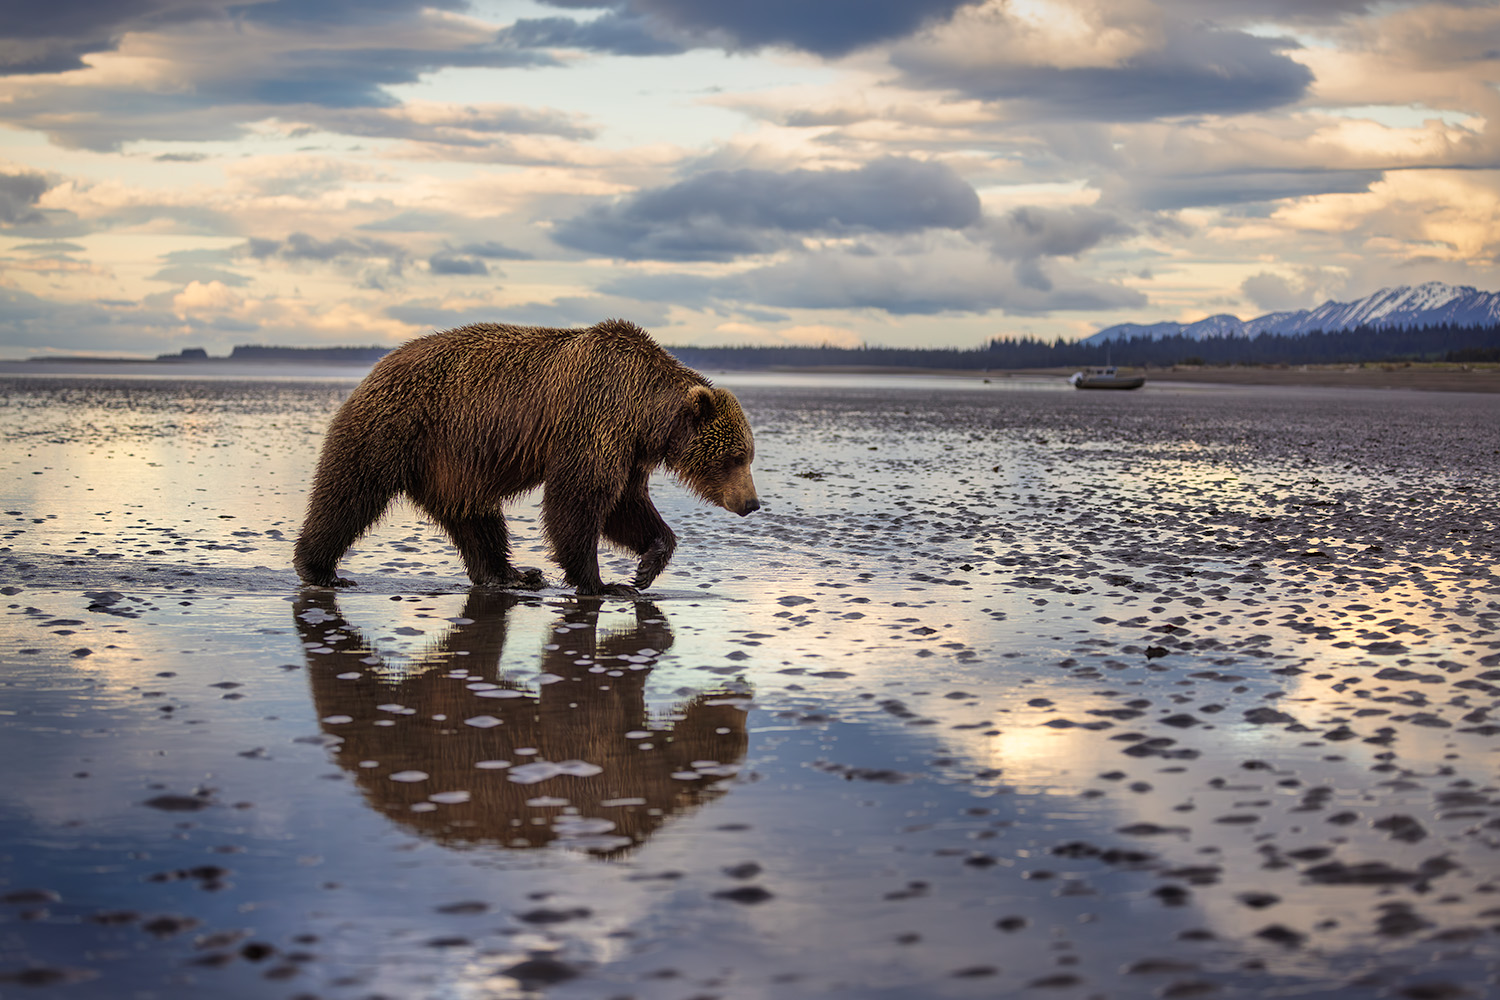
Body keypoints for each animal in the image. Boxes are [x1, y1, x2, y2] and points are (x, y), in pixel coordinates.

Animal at [292, 319, 759, 596]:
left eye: (749, 455)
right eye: (735, 457)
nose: (752, 503)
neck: (647, 414)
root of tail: (378, 366)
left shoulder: (627, 450)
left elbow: (625, 507)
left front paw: (646, 566)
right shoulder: (595, 417)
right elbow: (578, 499)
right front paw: (603, 583)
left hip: (454, 464)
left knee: (477, 519)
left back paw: (512, 574)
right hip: (395, 427)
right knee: (350, 493)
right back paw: (321, 569)